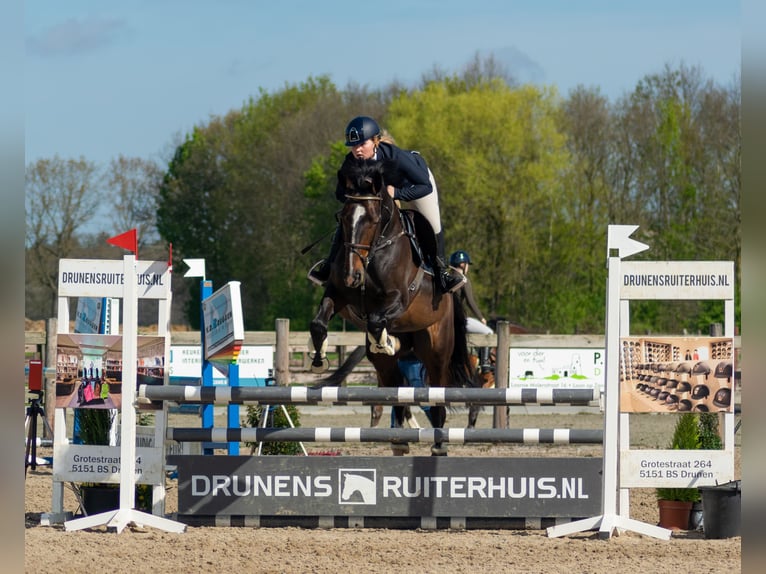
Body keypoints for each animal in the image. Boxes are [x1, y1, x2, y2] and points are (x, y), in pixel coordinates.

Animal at [308, 155, 476, 456]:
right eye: (343, 218)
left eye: (373, 220)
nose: (352, 276)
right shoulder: (337, 294)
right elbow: (318, 323)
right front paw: (319, 360)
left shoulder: (399, 299)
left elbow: (377, 320)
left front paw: (384, 340)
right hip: (388, 365)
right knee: (396, 391)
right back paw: (399, 440)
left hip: (436, 351)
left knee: (436, 398)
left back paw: (438, 446)